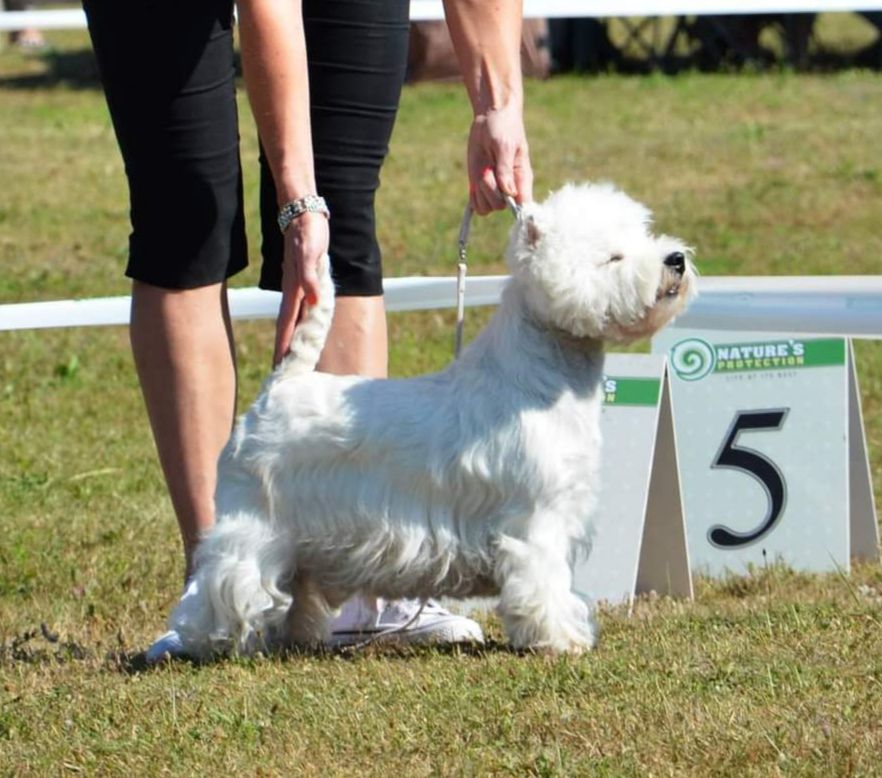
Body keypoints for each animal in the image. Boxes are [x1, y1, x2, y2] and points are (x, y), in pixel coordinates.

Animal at [168, 182, 696, 656]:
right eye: (614, 258)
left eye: (644, 234)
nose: (675, 259)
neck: (543, 374)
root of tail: (280, 386)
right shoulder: (536, 518)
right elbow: (544, 583)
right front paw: (562, 640)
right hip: (255, 520)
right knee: (226, 580)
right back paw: (204, 641)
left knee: (296, 588)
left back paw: (295, 637)